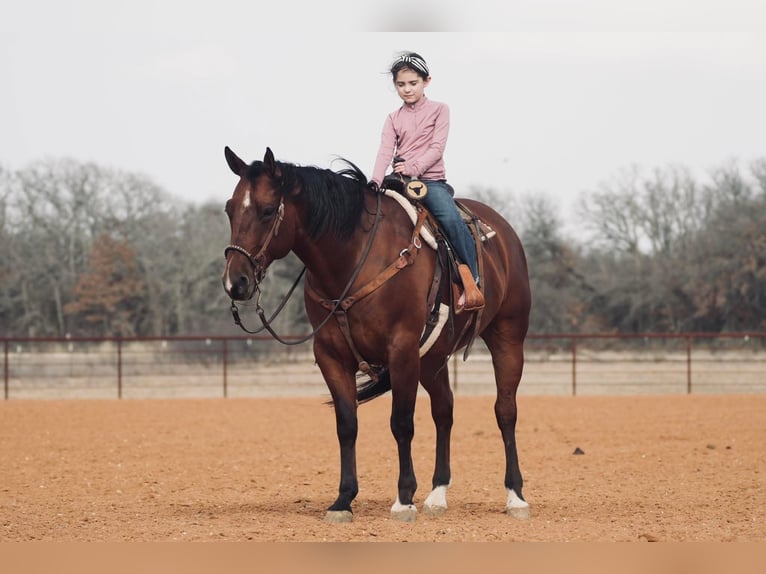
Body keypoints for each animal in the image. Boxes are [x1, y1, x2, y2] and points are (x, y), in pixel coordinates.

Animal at [222, 147, 536, 520]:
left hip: (507, 338)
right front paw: (343, 499)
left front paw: (404, 498)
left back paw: (515, 496)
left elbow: (401, 423)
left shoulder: (400, 350)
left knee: (506, 411)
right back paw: (437, 495)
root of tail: (505, 233)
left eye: (268, 210)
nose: (235, 282)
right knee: (444, 412)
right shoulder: (330, 355)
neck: (356, 259)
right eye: (229, 208)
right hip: (432, 360)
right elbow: (347, 425)